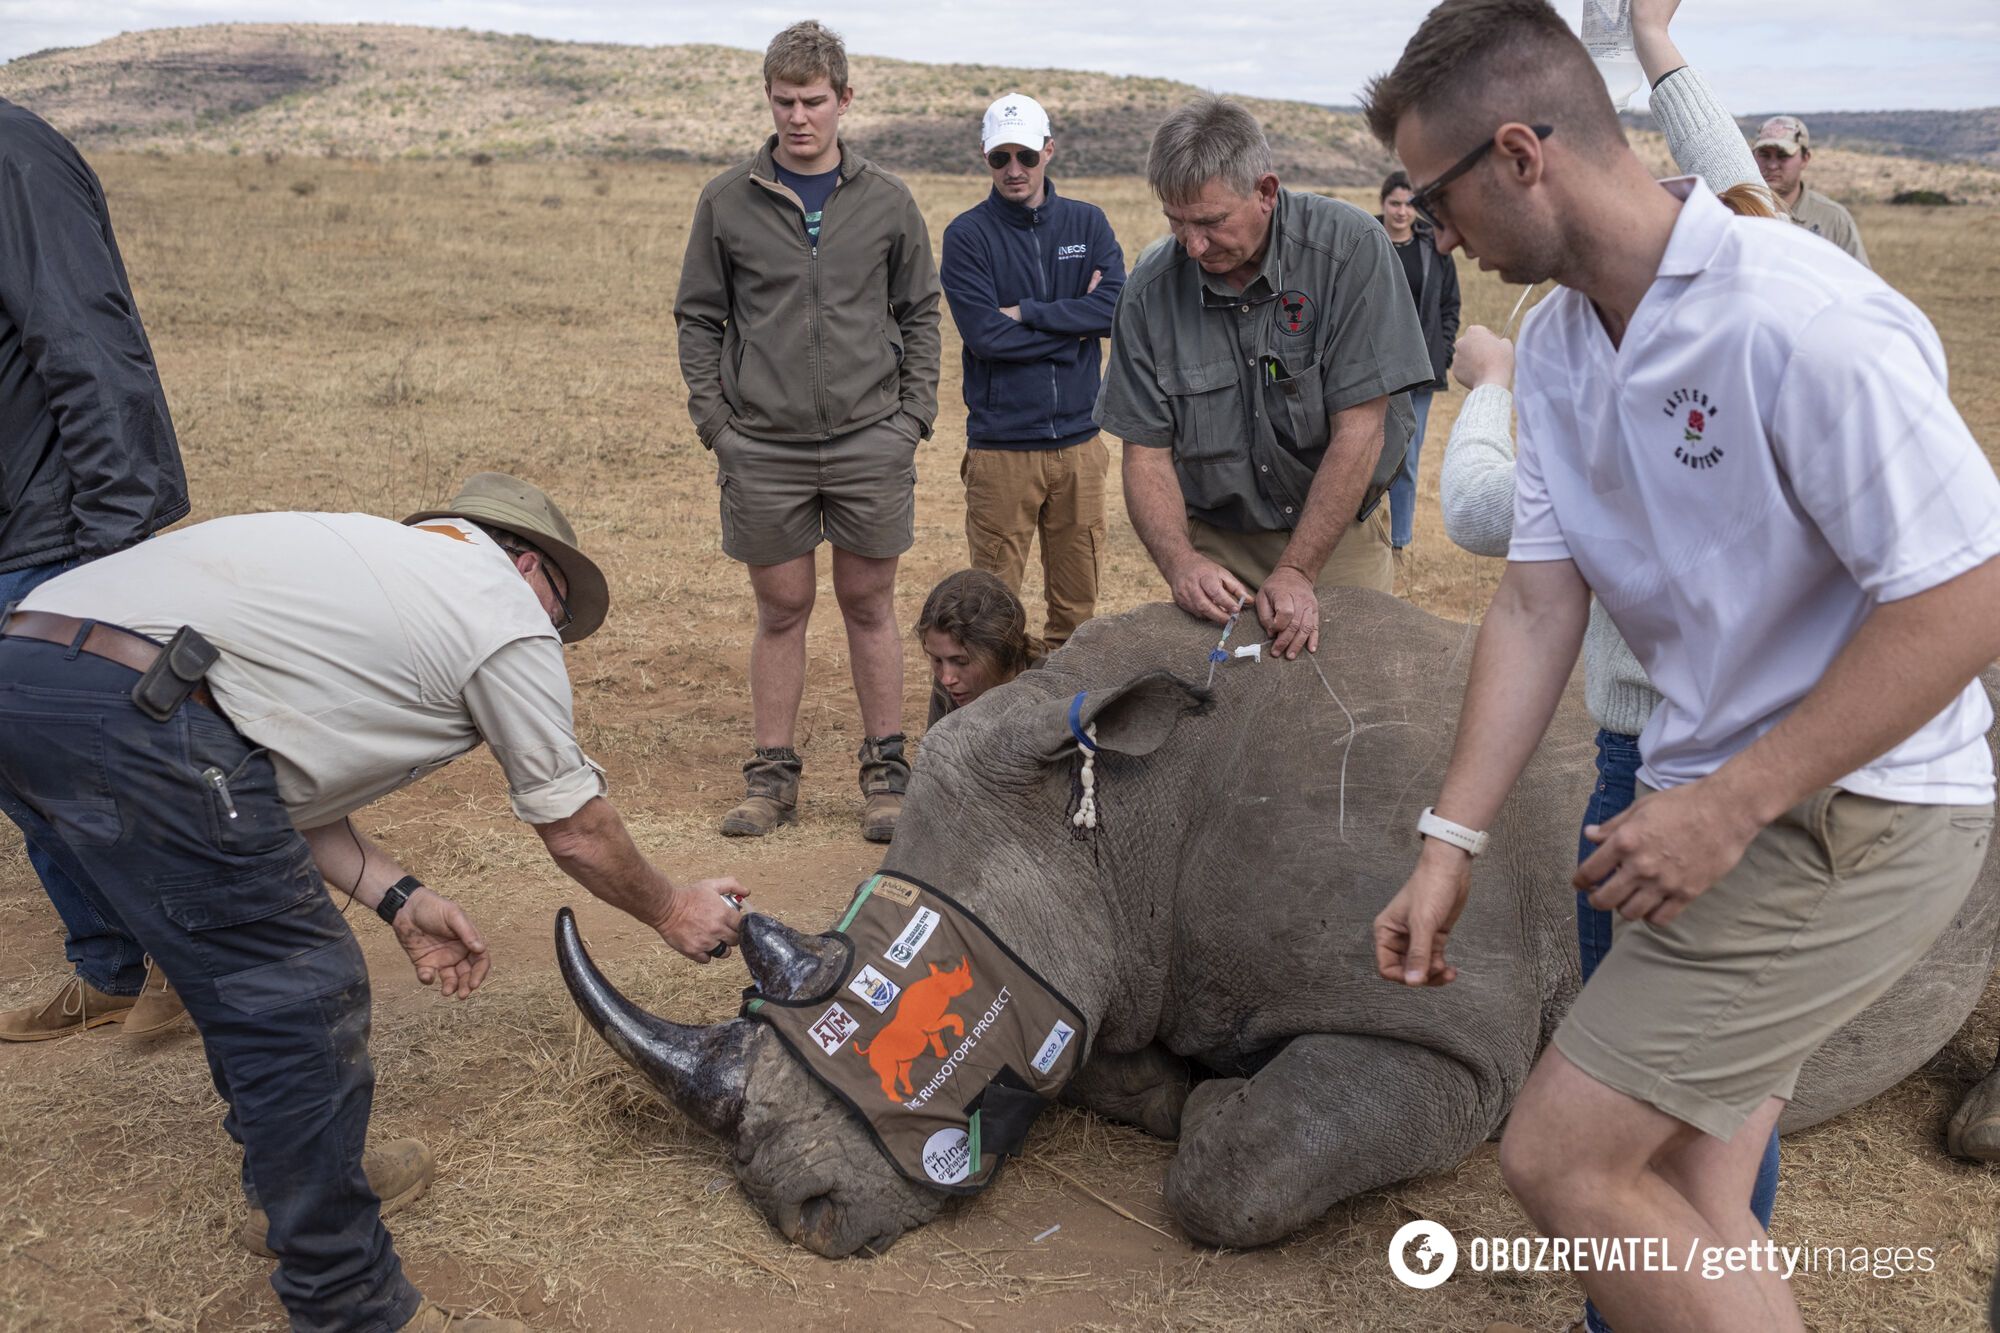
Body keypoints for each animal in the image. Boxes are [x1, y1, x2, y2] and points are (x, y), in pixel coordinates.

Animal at [552, 588, 2000, 1248]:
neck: (1119, 821)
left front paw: (1209, 1109)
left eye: (895, 997)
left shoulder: (1459, 1043)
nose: (790, 1206)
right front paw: (1169, 1081)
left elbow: (1240, 1171)